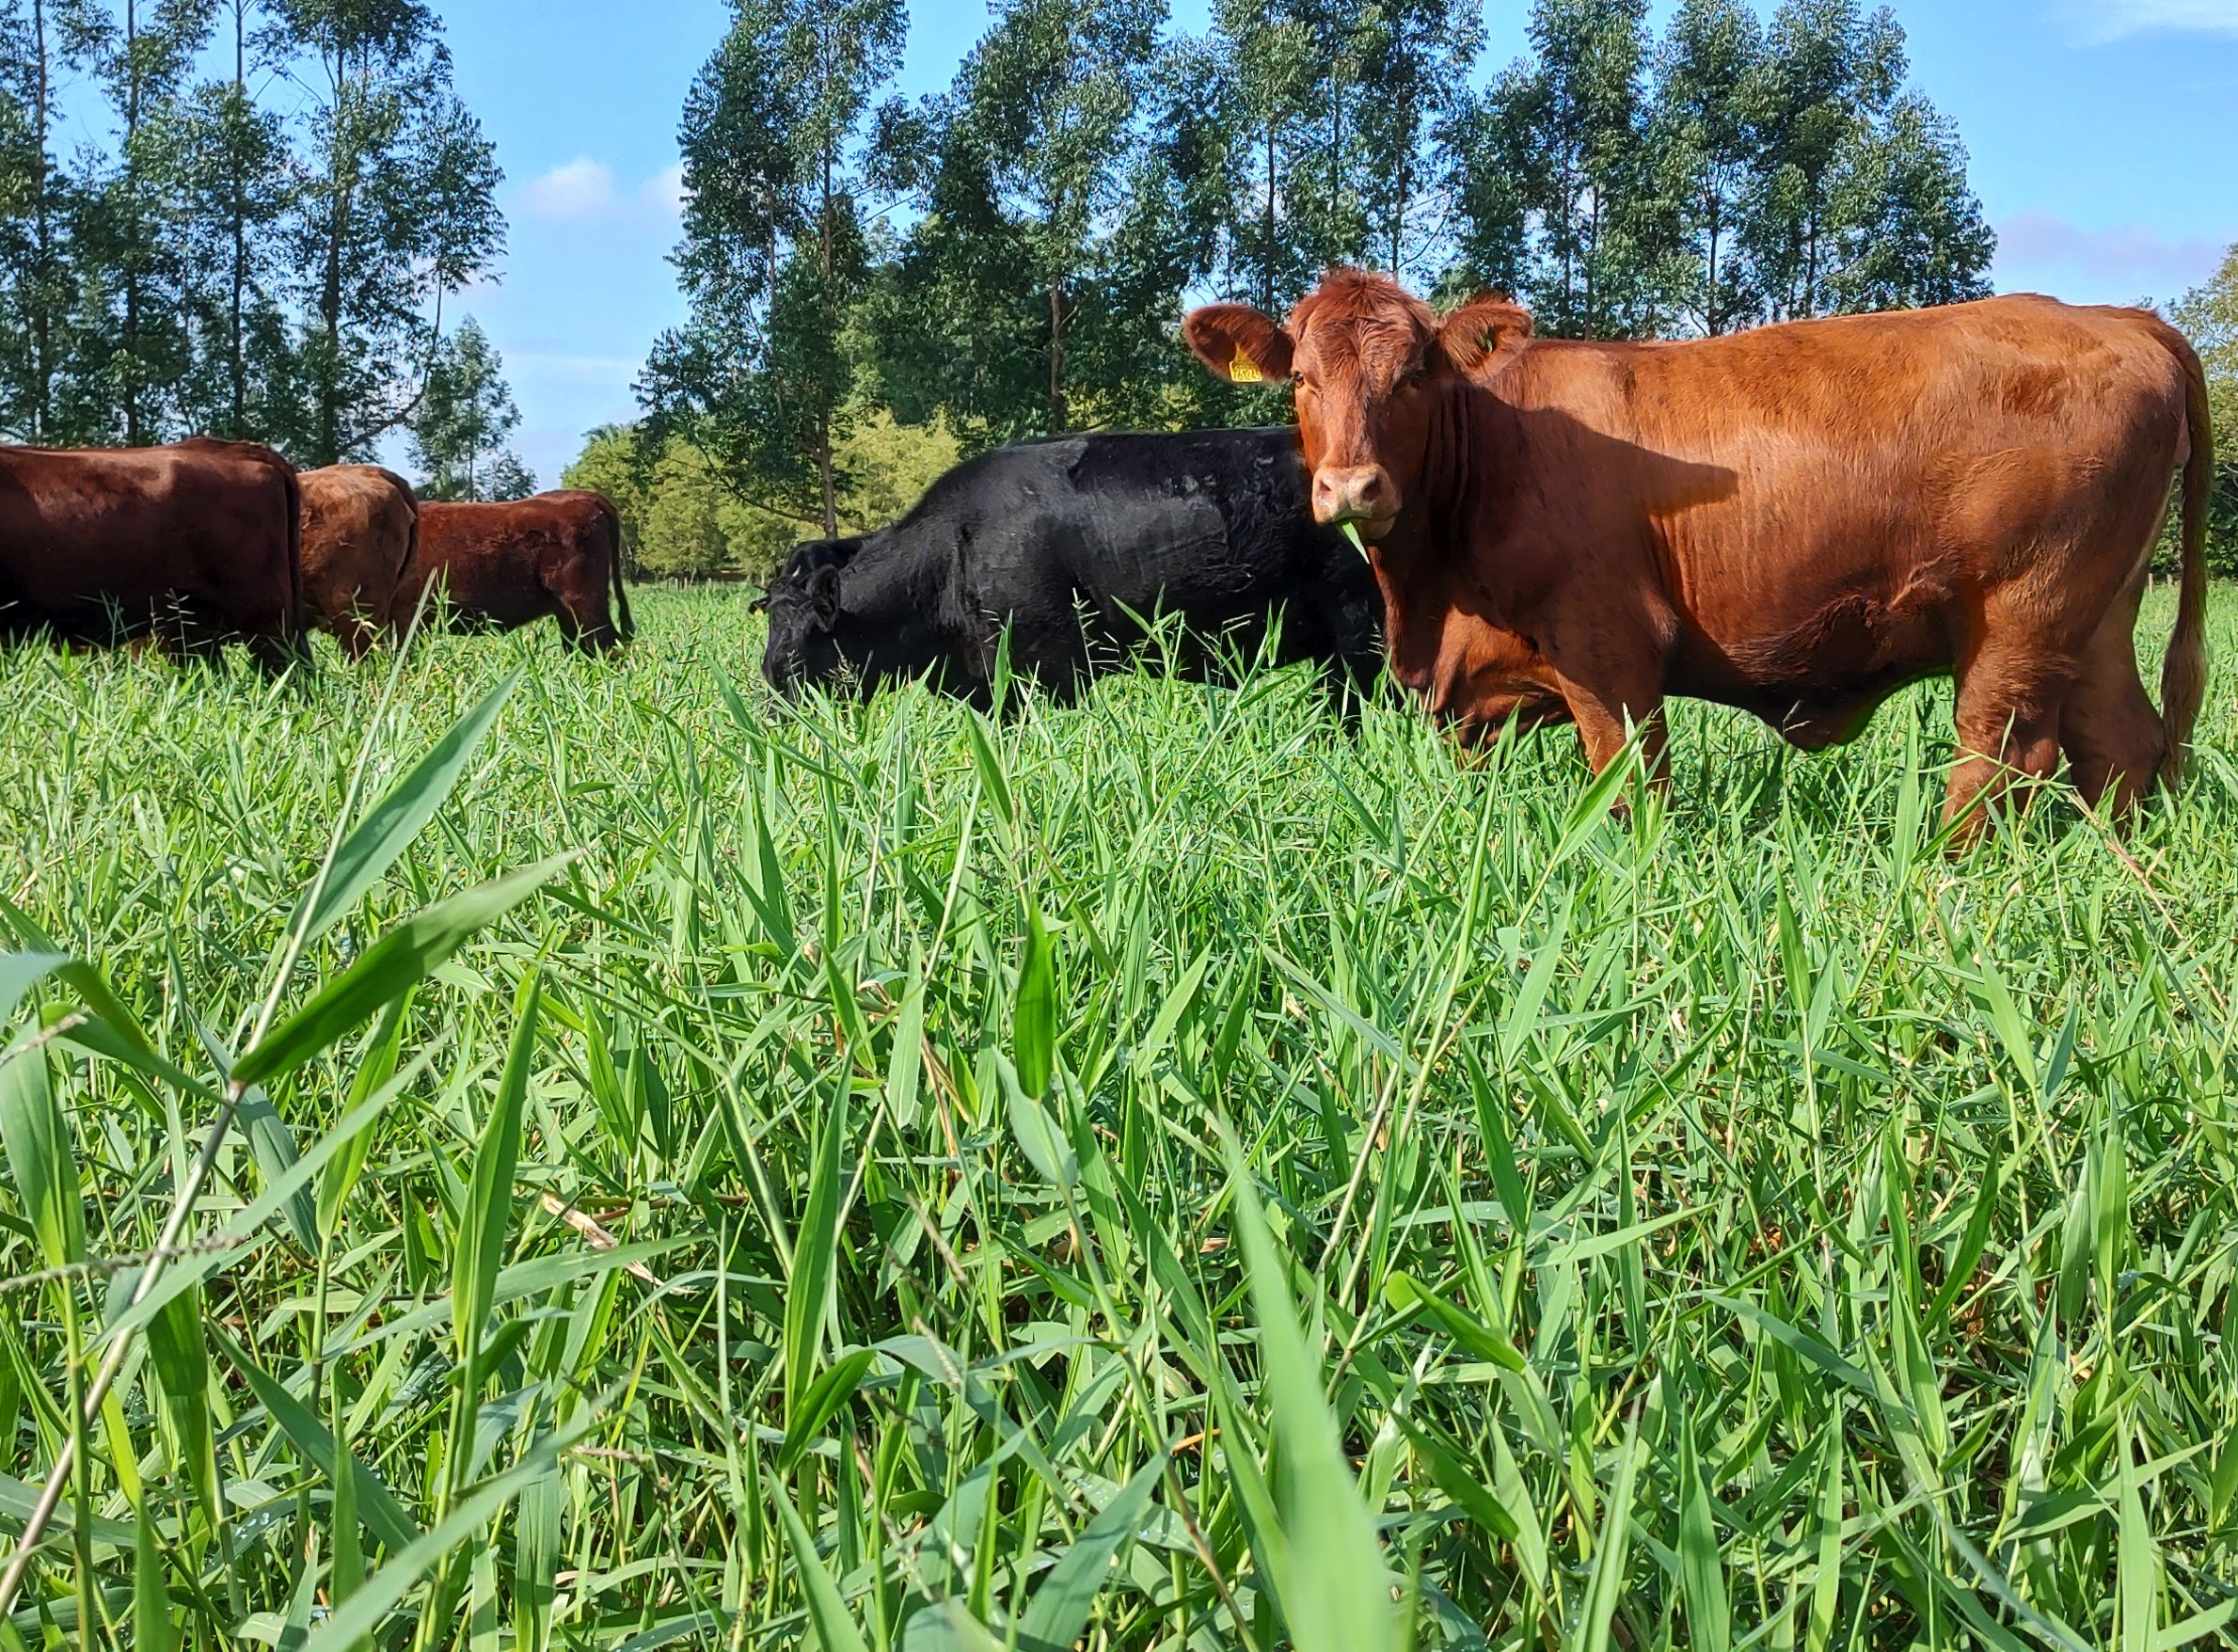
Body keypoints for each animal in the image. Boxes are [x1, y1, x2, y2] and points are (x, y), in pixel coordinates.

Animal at [1182, 275, 2211, 836]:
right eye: (1301, 379)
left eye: (1412, 378)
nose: (1352, 488)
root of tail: (2119, 318)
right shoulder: (1477, 693)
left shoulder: (1609, 649)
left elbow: (1629, 789)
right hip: (2095, 617)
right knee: (2121, 744)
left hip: (2020, 615)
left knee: (2002, 757)